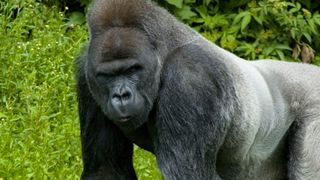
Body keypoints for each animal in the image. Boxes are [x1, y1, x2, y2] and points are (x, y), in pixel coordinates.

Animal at [76, 0, 320, 179]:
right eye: (107, 76)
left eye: (133, 69)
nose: (121, 95)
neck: (164, 54)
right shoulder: (86, 74)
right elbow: (105, 169)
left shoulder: (190, 78)